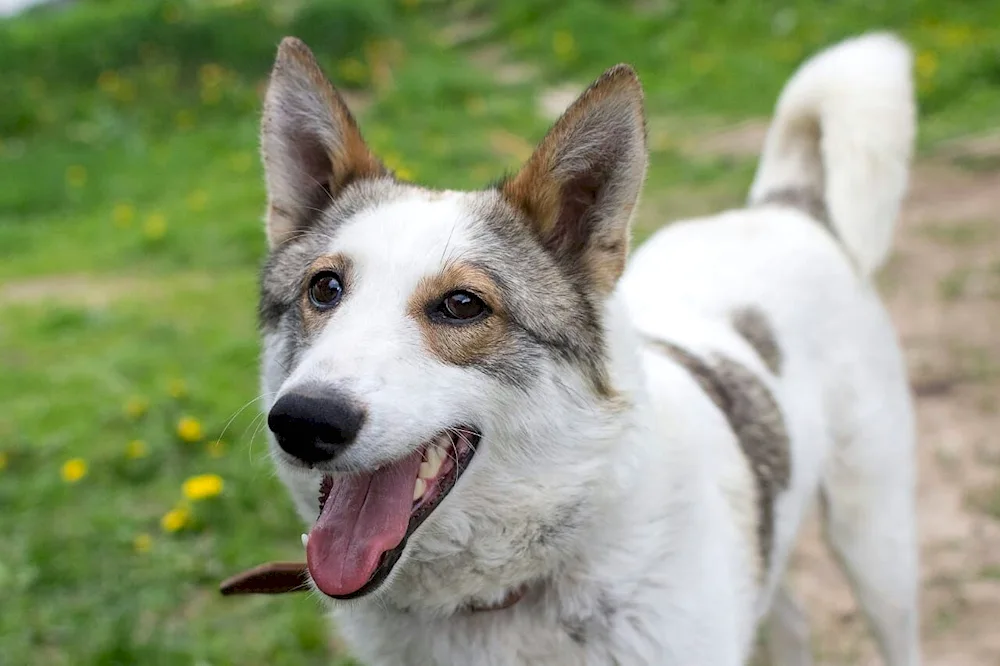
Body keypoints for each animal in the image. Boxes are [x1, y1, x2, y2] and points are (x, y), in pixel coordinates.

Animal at [234, 28, 920, 660]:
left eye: (462, 305)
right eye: (324, 288)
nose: (304, 421)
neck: (495, 599)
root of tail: (784, 208)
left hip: (877, 552)